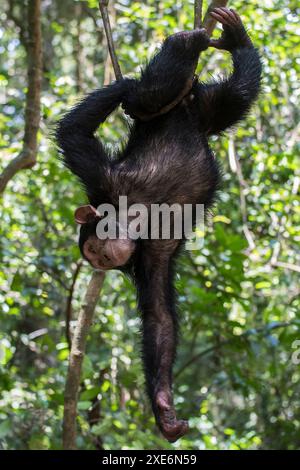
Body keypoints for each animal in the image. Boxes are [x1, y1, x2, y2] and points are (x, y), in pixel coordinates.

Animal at [55, 8, 260, 444]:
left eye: (95, 251)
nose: (103, 260)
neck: (131, 218)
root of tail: (189, 112)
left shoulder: (101, 179)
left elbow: (74, 134)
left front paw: (123, 83)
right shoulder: (151, 256)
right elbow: (159, 317)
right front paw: (164, 409)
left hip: (183, 105)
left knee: (146, 98)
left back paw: (192, 45)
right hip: (210, 113)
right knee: (239, 94)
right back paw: (234, 43)